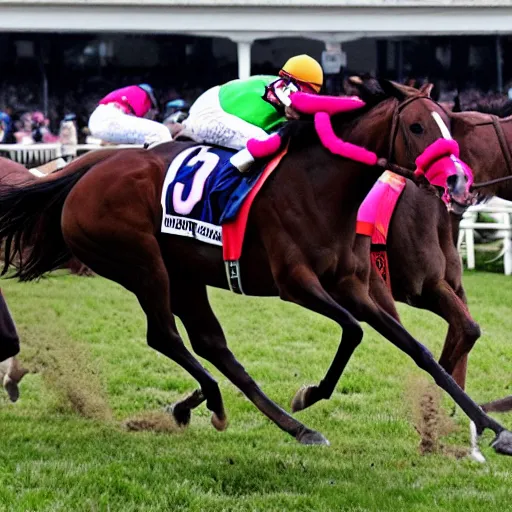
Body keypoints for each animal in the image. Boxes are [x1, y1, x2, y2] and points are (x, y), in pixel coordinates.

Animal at [1, 80, 512, 452]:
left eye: (449, 126)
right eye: (417, 128)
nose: (456, 179)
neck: (323, 185)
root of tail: (86, 170)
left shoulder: (354, 285)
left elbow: (419, 350)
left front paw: (491, 425)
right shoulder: (296, 282)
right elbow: (352, 331)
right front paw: (309, 394)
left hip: (184, 273)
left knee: (210, 343)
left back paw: (264, 419)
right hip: (142, 263)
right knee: (165, 335)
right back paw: (223, 403)